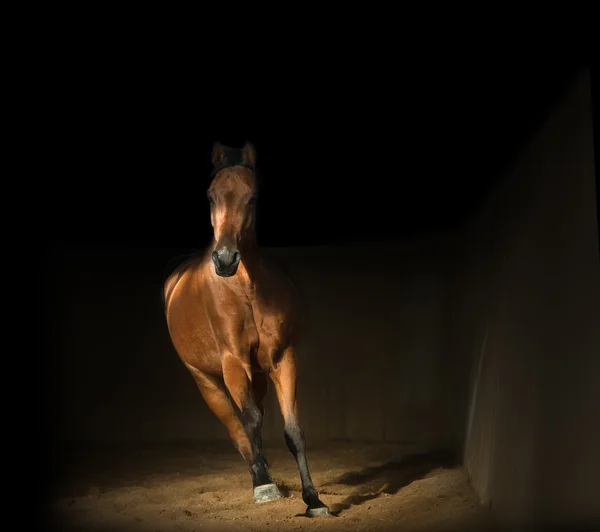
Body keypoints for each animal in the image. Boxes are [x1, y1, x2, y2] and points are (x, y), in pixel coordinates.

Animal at [162, 140, 330, 516]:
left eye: (251, 197)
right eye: (210, 196)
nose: (225, 259)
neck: (246, 290)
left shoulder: (283, 360)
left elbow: (293, 431)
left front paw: (313, 500)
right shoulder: (233, 364)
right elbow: (249, 421)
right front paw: (264, 488)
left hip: (259, 378)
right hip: (206, 381)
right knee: (237, 428)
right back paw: (261, 479)